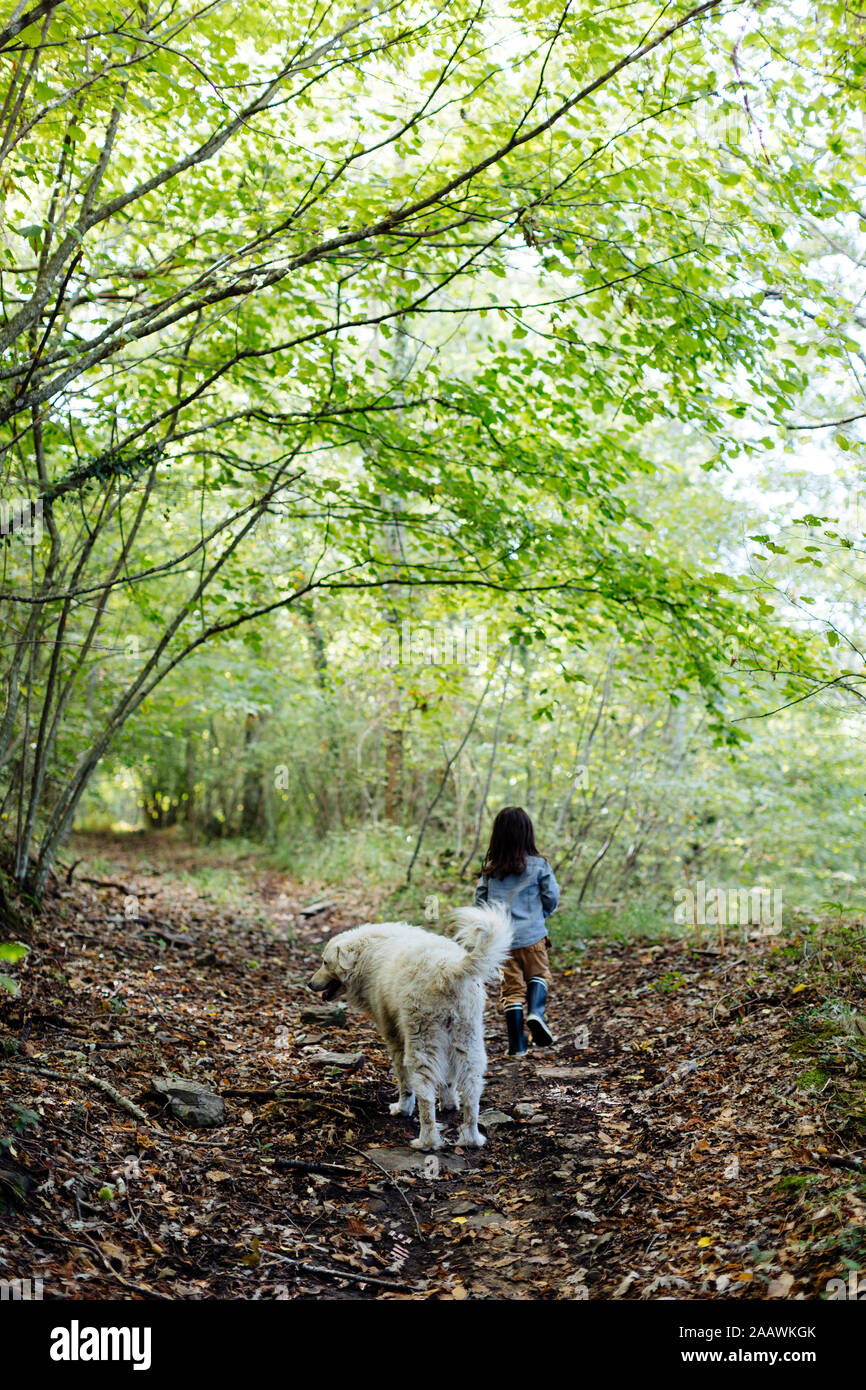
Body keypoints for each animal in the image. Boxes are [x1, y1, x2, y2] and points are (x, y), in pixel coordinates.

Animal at [308, 900, 511, 1150]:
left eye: (325, 962)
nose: (309, 984)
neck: (366, 954)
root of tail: (448, 969)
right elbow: (448, 1080)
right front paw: (449, 1104)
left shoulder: (394, 1036)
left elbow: (404, 1082)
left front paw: (402, 1108)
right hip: (467, 1039)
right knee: (472, 1090)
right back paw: (471, 1138)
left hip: (421, 1041)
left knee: (424, 1092)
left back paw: (426, 1140)